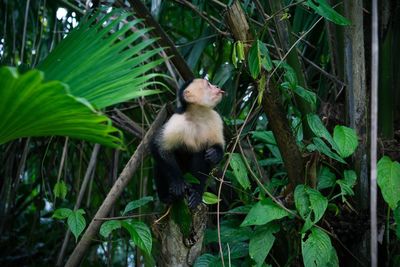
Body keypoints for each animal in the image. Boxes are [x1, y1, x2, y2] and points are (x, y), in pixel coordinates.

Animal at [150, 79, 225, 209]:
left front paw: (215, 153)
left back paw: (196, 193)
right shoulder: (177, 121)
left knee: (200, 153)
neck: (199, 115)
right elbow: (158, 146)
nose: (217, 86)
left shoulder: (216, 118)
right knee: (159, 164)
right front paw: (178, 182)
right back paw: (166, 197)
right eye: (208, 85)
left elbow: (218, 146)